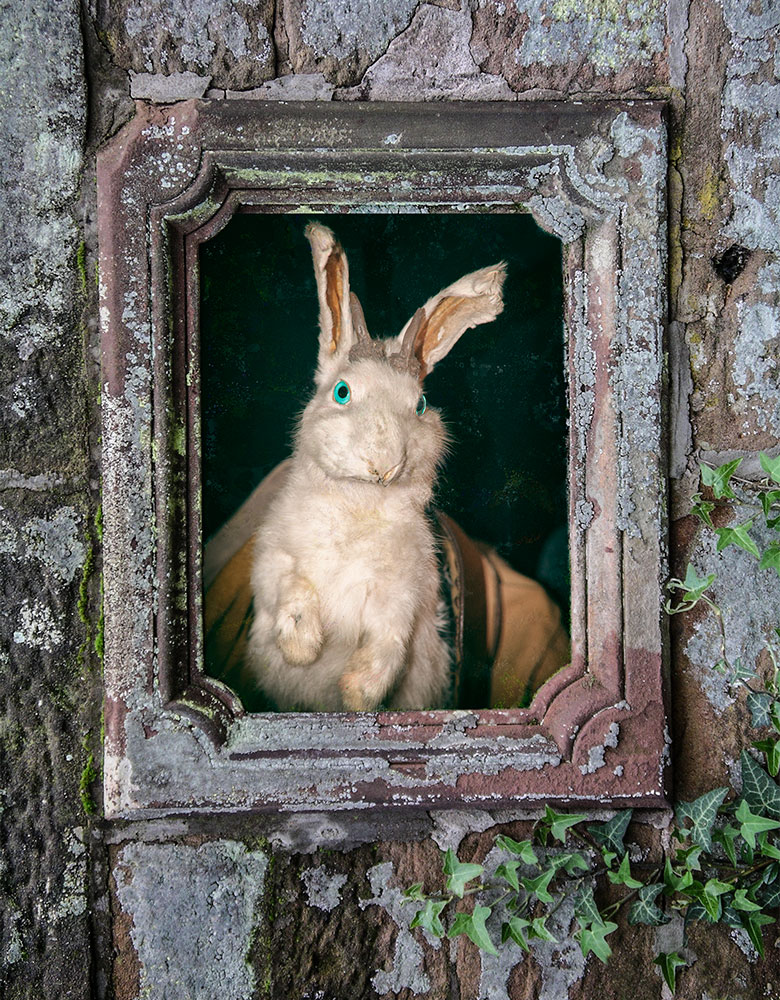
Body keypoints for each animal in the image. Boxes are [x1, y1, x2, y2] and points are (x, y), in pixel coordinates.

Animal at [247, 227, 508, 712]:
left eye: (420, 406)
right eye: (342, 392)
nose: (384, 465)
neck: (359, 503)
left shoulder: (401, 595)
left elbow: (389, 640)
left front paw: (357, 695)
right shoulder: (275, 559)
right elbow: (291, 588)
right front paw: (301, 649)